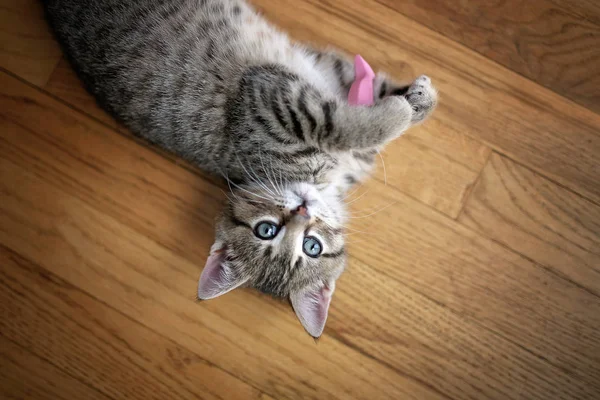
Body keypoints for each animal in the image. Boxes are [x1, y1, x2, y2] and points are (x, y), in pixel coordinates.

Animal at [43, 0, 436, 338]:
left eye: (312, 247)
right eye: (266, 231)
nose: (303, 210)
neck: (326, 182)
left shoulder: (318, 83)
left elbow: (357, 104)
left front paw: (418, 98)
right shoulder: (270, 97)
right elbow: (337, 122)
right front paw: (399, 110)